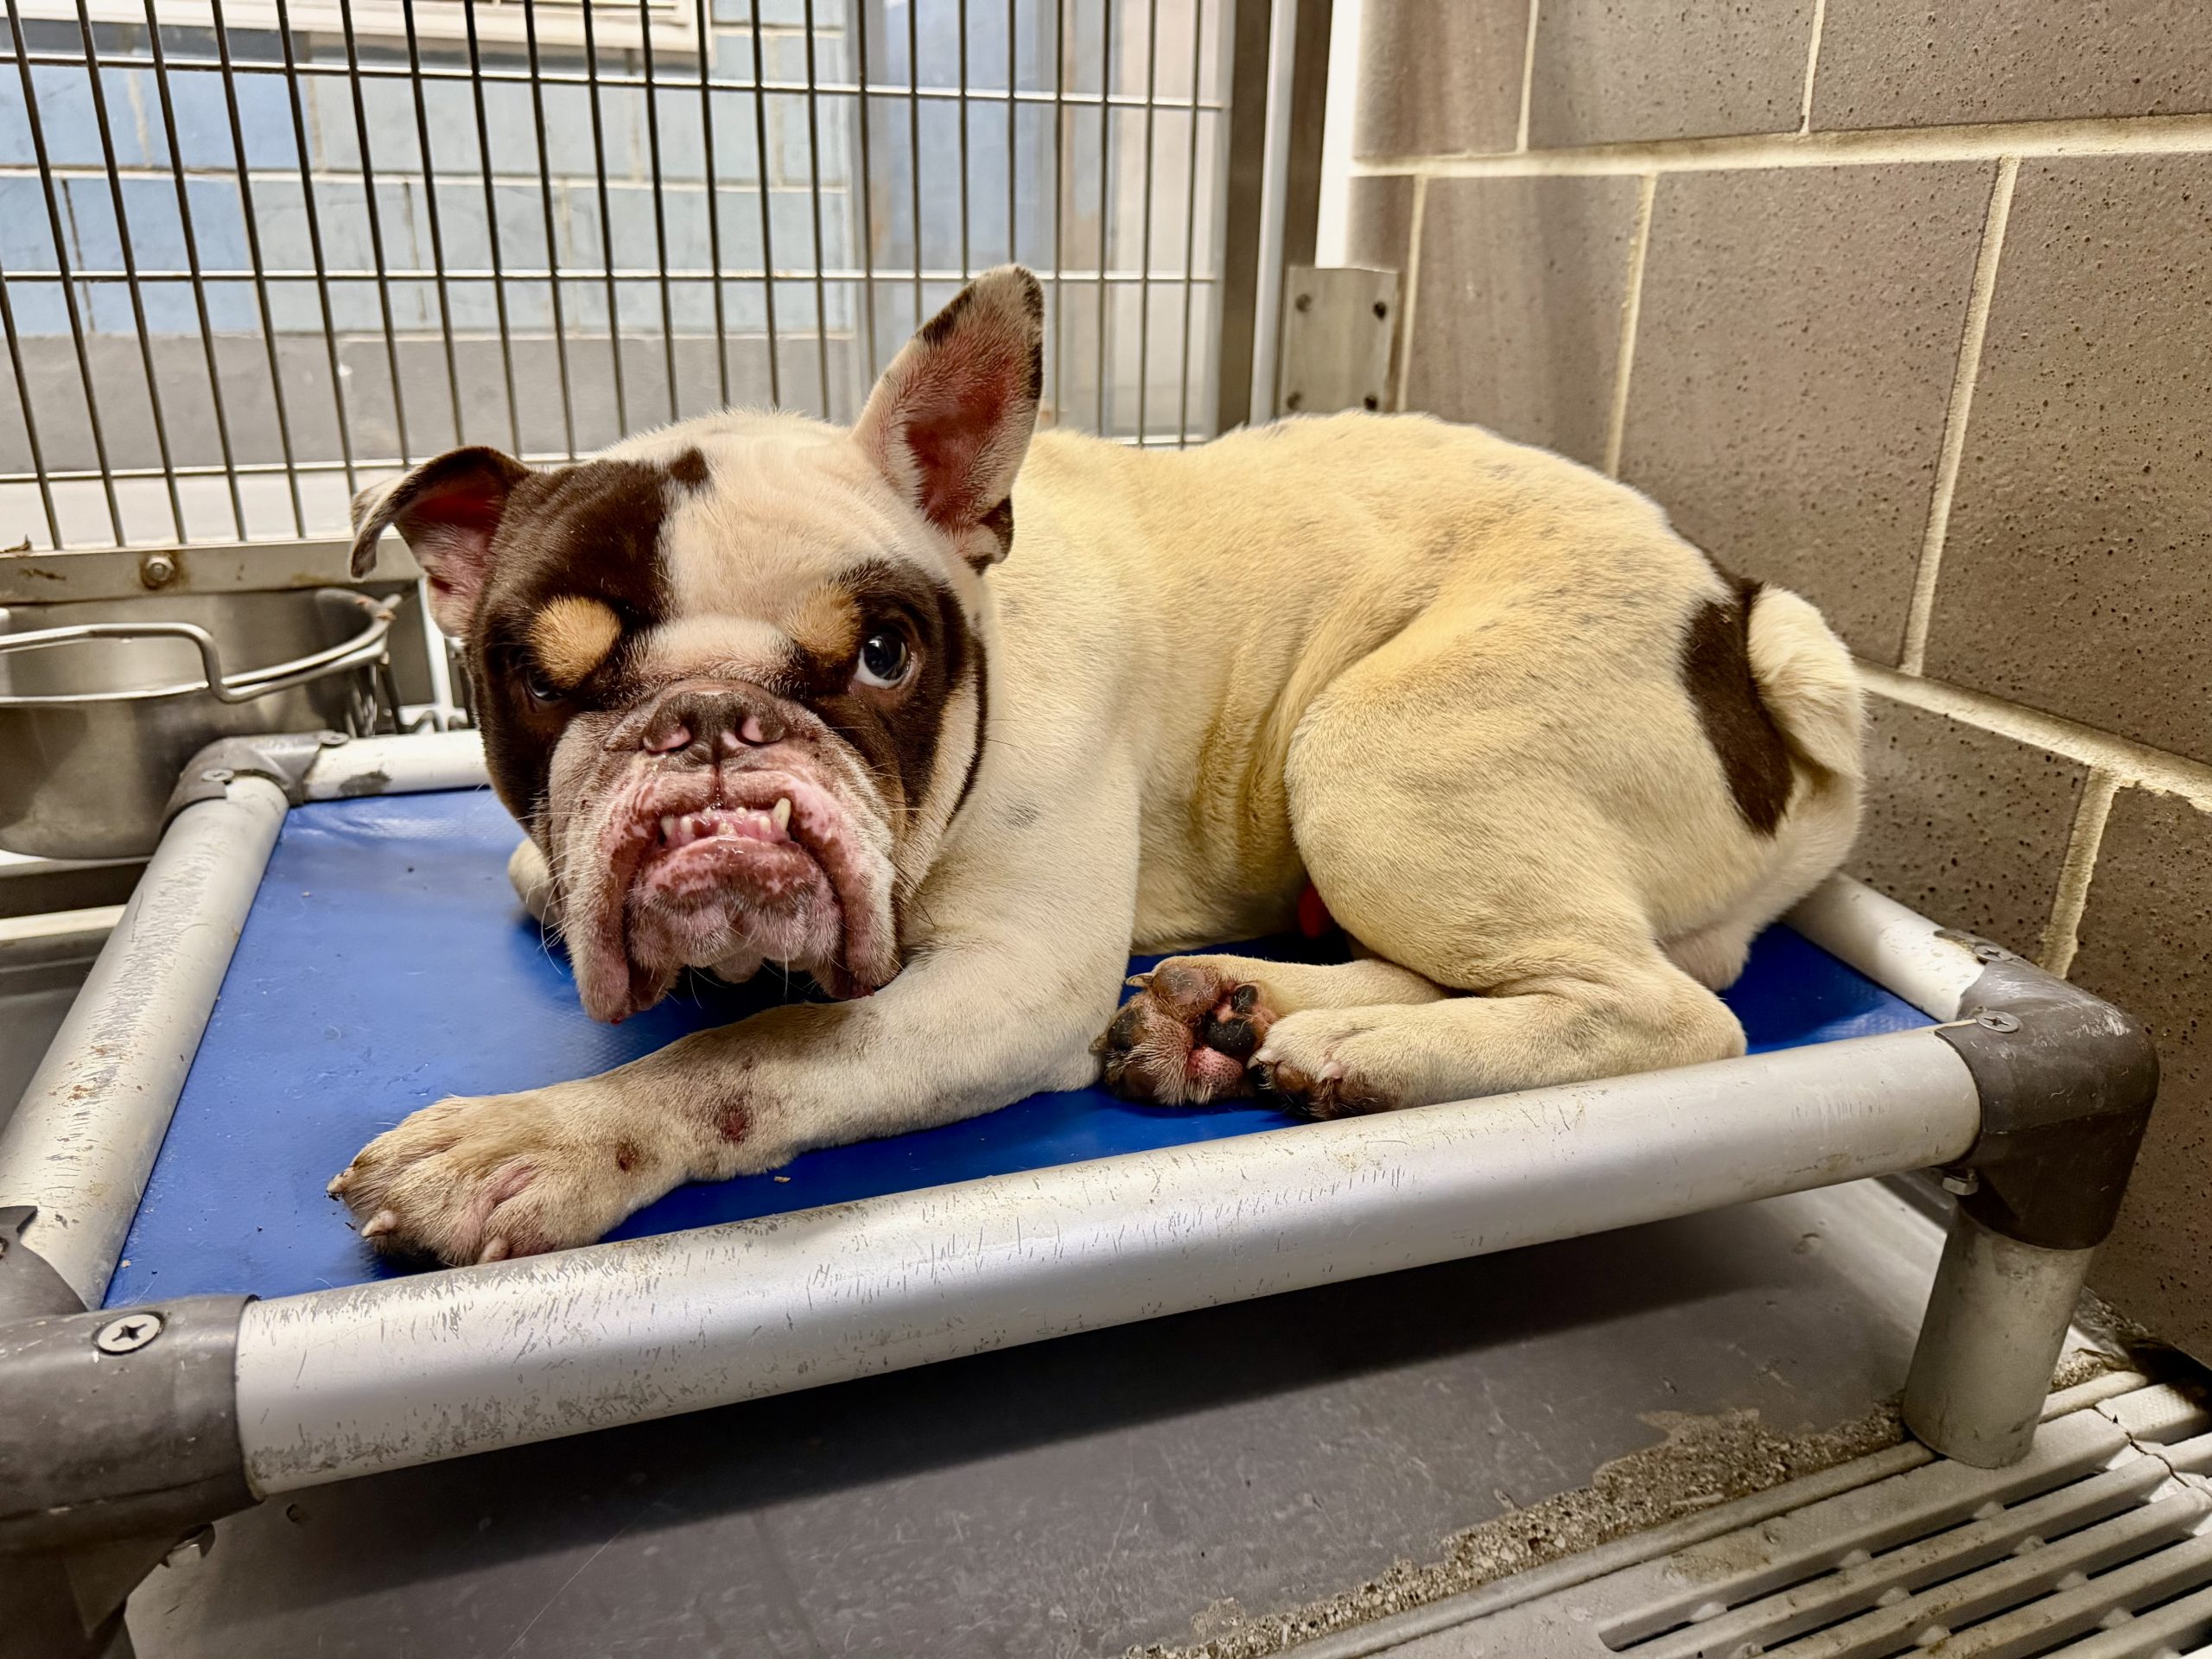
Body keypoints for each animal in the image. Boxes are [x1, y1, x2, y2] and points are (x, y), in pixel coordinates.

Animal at [330, 266, 1863, 1266]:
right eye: (541, 679)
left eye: (884, 654)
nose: (709, 724)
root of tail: (1747, 630)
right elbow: (541, 870)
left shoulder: (1012, 981)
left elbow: (750, 1050)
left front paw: (539, 1141)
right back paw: (1236, 1015)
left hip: (1372, 754)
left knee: (1665, 1010)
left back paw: (1355, 1046)